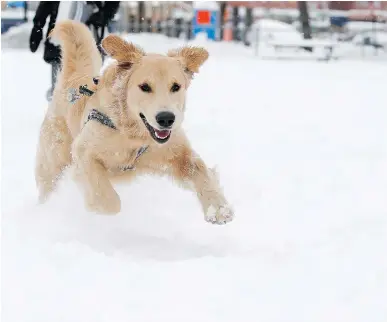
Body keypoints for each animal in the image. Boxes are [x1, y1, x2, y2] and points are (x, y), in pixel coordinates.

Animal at [36, 20, 235, 225]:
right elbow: (110, 202)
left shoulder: (178, 154)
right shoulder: (84, 151)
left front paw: (218, 209)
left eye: (176, 87)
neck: (135, 134)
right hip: (53, 163)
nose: (166, 118)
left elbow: (201, 171)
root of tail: (74, 80)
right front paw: (96, 208)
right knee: (48, 187)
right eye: (145, 87)